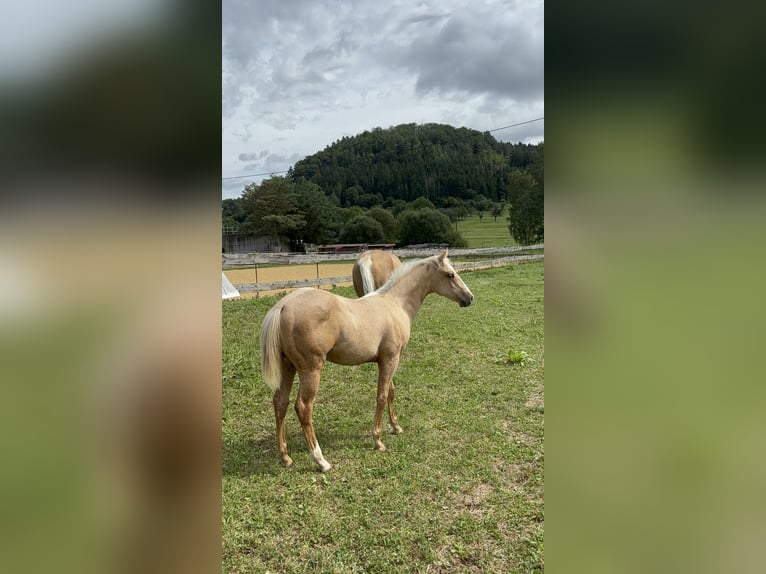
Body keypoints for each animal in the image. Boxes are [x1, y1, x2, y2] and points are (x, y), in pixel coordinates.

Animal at [260, 251, 474, 472]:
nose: (469, 298)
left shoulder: (388, 360)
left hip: (288, 367)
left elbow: (391, 391)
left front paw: (396, 426)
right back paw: (321, 460)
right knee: (303, 407)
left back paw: (285, 457)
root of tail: (282, 306)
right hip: (311, 369)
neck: (395, 304)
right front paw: (378, 440)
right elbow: (381, 396)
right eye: (450, 274)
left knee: (280, 402)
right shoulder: (390, 359)